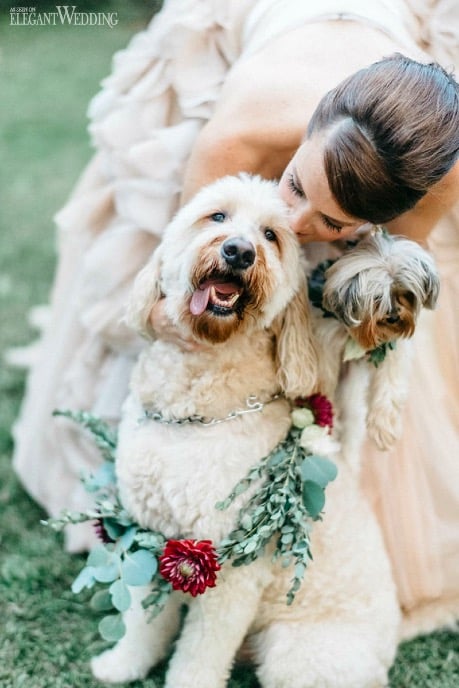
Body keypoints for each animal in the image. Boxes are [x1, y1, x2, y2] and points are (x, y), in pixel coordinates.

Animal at [90, 174, 401, 688]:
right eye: (217, 216)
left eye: (271, 236)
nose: (238, 251)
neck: (193, 410)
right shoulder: (151, 532)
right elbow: (141, 620)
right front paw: (122, 663)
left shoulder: (231, 572)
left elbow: (200, 652)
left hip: (298, 655)